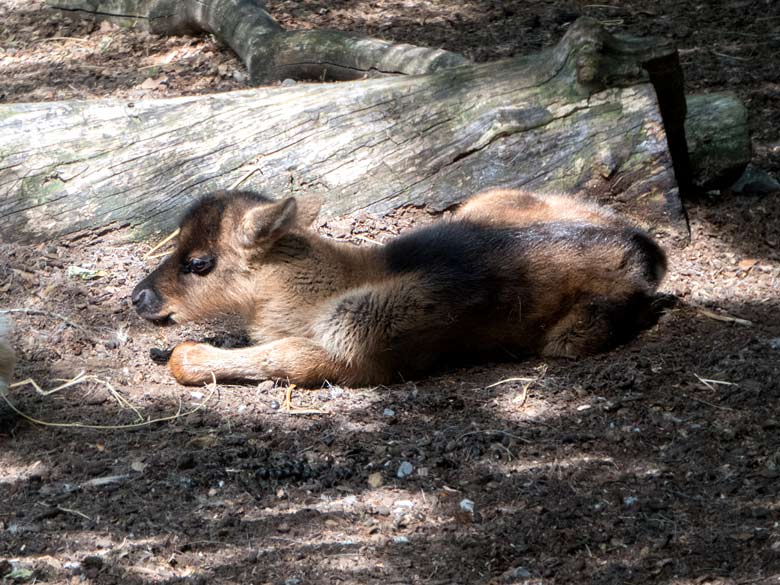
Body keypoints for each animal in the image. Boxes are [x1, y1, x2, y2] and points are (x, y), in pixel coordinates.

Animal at [133, 189, 664, 386]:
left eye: (199, 262)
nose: (140, 297)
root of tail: (646, 248)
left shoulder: (364, 351)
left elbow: (286, 357)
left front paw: (184, 357)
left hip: (572, 335)